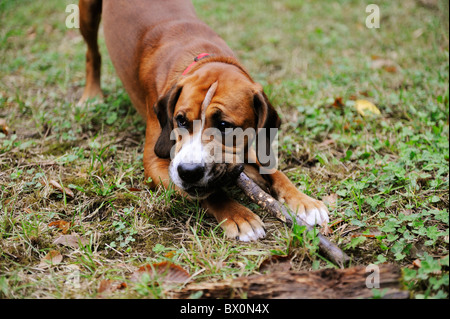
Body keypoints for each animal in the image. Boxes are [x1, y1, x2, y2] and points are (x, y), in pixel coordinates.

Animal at [79, 0, 328, 240]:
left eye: (224, 126)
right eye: (180, 120)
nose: (188, 171)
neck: (202, 57)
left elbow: (274, 170)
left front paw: (304, 201)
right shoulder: (156, 163)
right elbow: (211, 193)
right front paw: (239, 216)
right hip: (88, 14)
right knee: (92, 52)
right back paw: (91, 95)